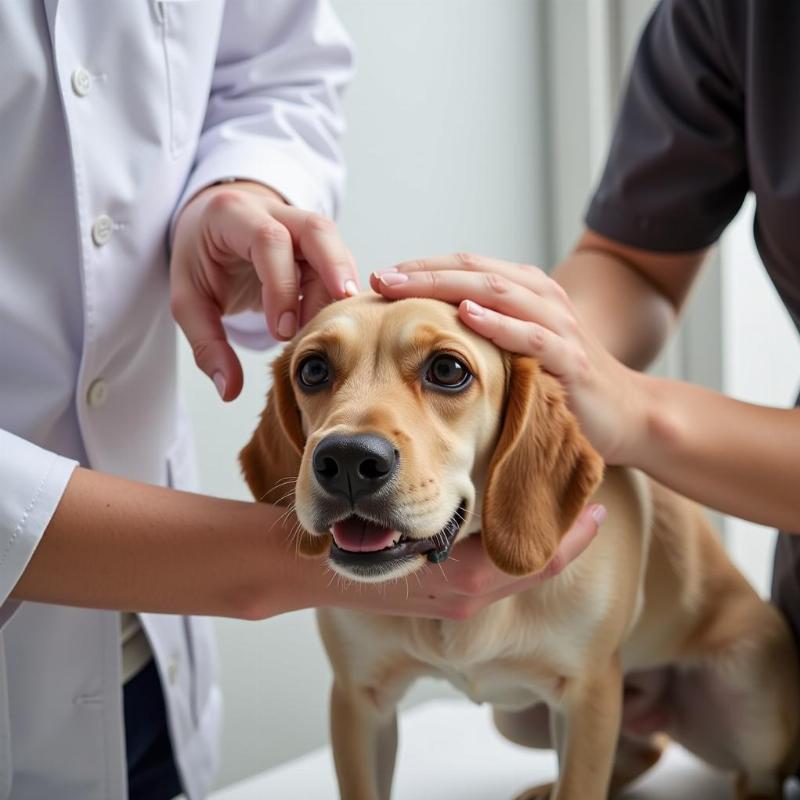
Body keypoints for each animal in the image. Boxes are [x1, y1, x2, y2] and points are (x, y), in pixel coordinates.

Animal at [239, 294, 800, 800]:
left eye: (447, 369)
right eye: (313, 369)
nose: (349, 460)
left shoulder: (587, 697)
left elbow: (581, 787)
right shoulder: (360, 699)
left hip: (746, 697)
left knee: (755, 776)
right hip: (518, 719)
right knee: (645, 749)